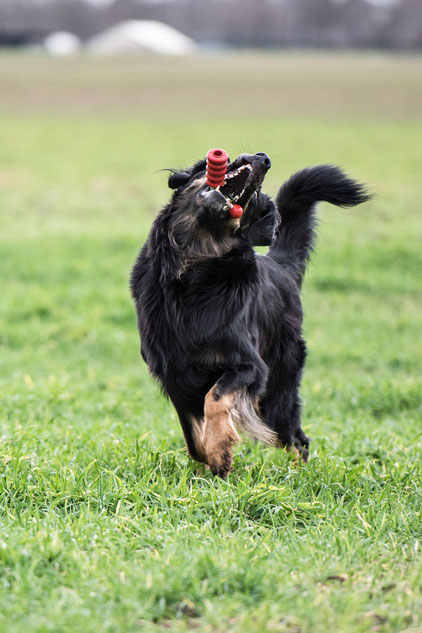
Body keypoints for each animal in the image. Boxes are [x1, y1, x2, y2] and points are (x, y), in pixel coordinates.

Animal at [129, 153, 370, 476]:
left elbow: (215, 397)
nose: (262, 158)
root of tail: (281, 266)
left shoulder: (250, 367)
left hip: (277, 390)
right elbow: (193, 442)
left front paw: (220, 449)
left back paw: (298, 474)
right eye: (229, 158)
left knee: (297, 438)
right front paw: (211, 456)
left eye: (255, 197)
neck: (194, 272)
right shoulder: (175, 376)